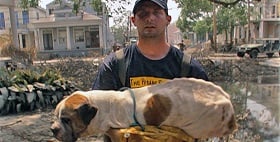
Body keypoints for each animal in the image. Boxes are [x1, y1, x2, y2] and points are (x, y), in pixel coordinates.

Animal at [50, 77, 236, 142]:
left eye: (66, 120)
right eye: (55, 117)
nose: (53, 129)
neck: (103, 108)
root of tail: (227, 100)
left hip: (200, 125)